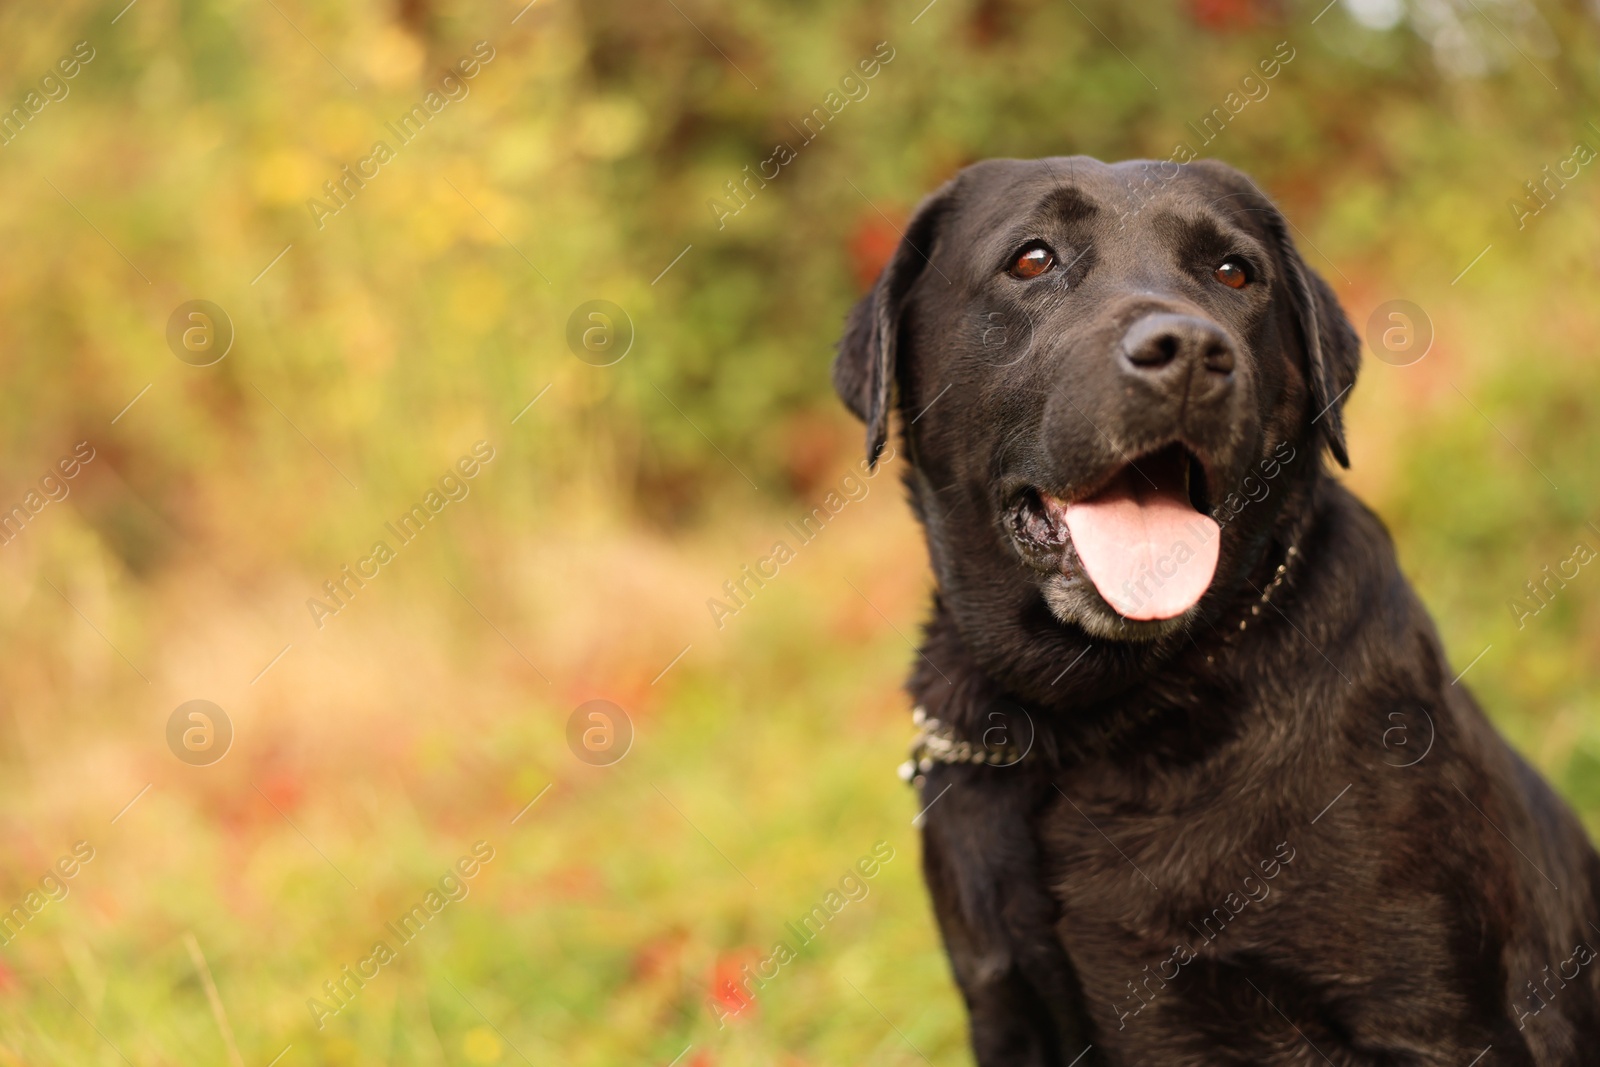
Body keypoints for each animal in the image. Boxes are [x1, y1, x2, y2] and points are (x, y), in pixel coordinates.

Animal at [832, 154, 1600, 1062]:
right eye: (1032, 258)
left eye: (1235, 272)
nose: (1190, 351)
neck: (1089, 721)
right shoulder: (1006, 1004)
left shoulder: (1432, 1014)